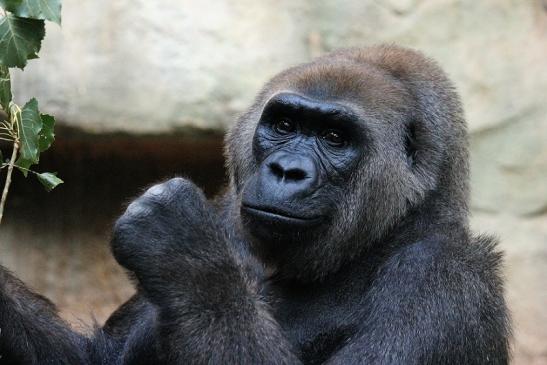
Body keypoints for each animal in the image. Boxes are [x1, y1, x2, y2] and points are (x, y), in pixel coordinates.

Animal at [2, 44, 512, 362]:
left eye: (334, 137)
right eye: (285, 125)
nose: (287, 171)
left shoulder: (446, 279)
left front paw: (186, 252)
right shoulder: (228, 209)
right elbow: (91, 358)